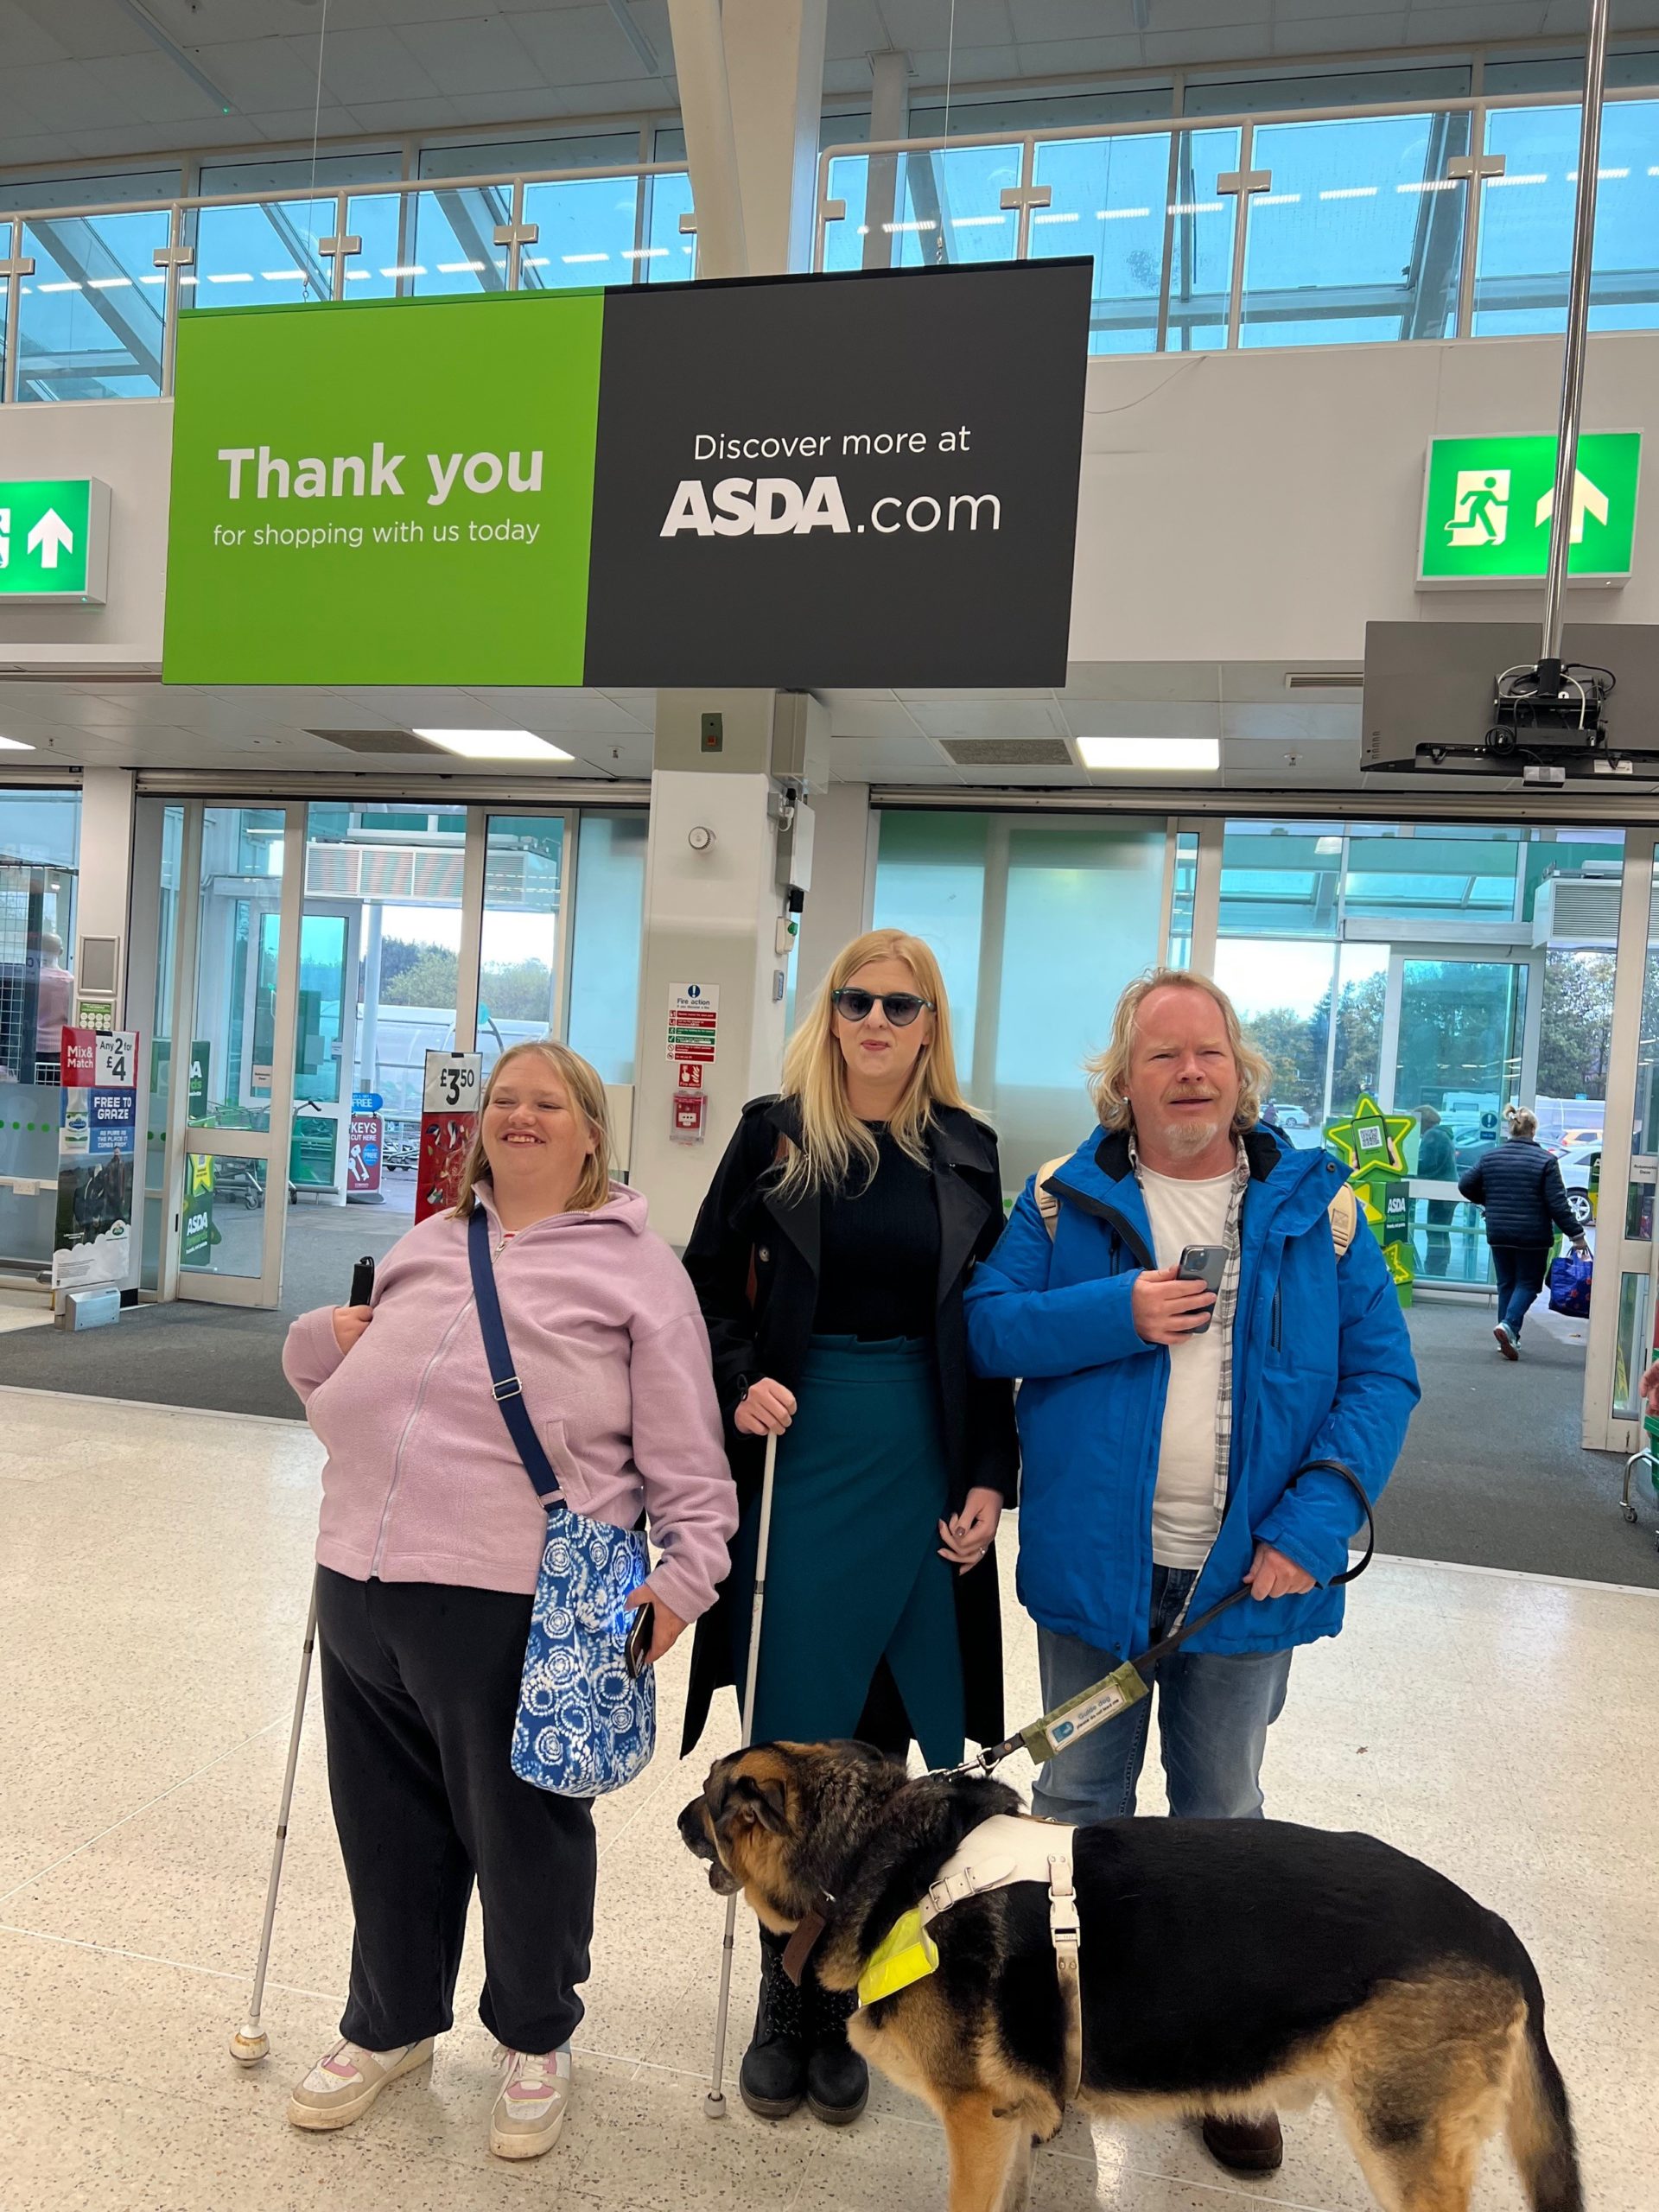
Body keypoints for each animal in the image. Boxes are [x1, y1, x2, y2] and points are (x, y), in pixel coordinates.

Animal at [681, 1743, 1592, 2212]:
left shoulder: (974, 2121)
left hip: (1398, 2146)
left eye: (709, 1801)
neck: (882, 1856)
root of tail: (1495, 1928)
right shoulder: (1007, 2122)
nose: (677, 1817)